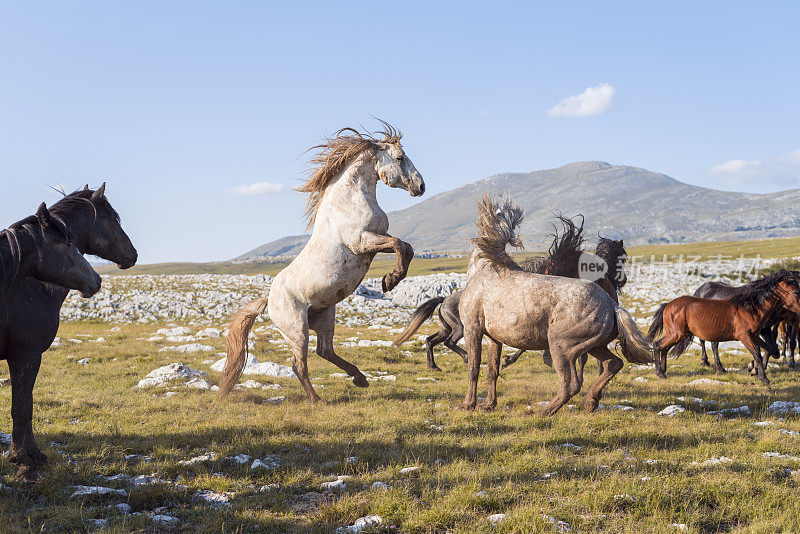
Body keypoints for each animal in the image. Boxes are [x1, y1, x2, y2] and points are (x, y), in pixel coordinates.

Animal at [0, 185, 136, 482]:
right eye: (113, 219)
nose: (133, 254)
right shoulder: (26, 355)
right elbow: (21, 407)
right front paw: (23, 460)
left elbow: (26, 404)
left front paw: (32, 454)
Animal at [219, 124, 424, 402]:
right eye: (400, 158)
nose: (421, 186)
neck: (350, 202)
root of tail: (268, 302)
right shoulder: (362, 242)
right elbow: (399, 245)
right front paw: (390, 281)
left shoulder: (375, 240)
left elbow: (407, 248)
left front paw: (391, 279)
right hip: (297, 330)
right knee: (299, 365)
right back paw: (318, 399)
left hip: (326, 317)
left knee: (325, 351)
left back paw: (360, 379)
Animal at [648, 272, 800, 386]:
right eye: (796, 292)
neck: (751, 308)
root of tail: (668, 305)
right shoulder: (745, 336)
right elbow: (757, 353)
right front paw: (763, 378)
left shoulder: (756, 335)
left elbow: (768, 349)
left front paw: (755, 370)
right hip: (676, 334)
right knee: (657, 345)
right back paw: (660, 373)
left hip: (679, 334)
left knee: (664, 348)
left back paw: (663, 371)